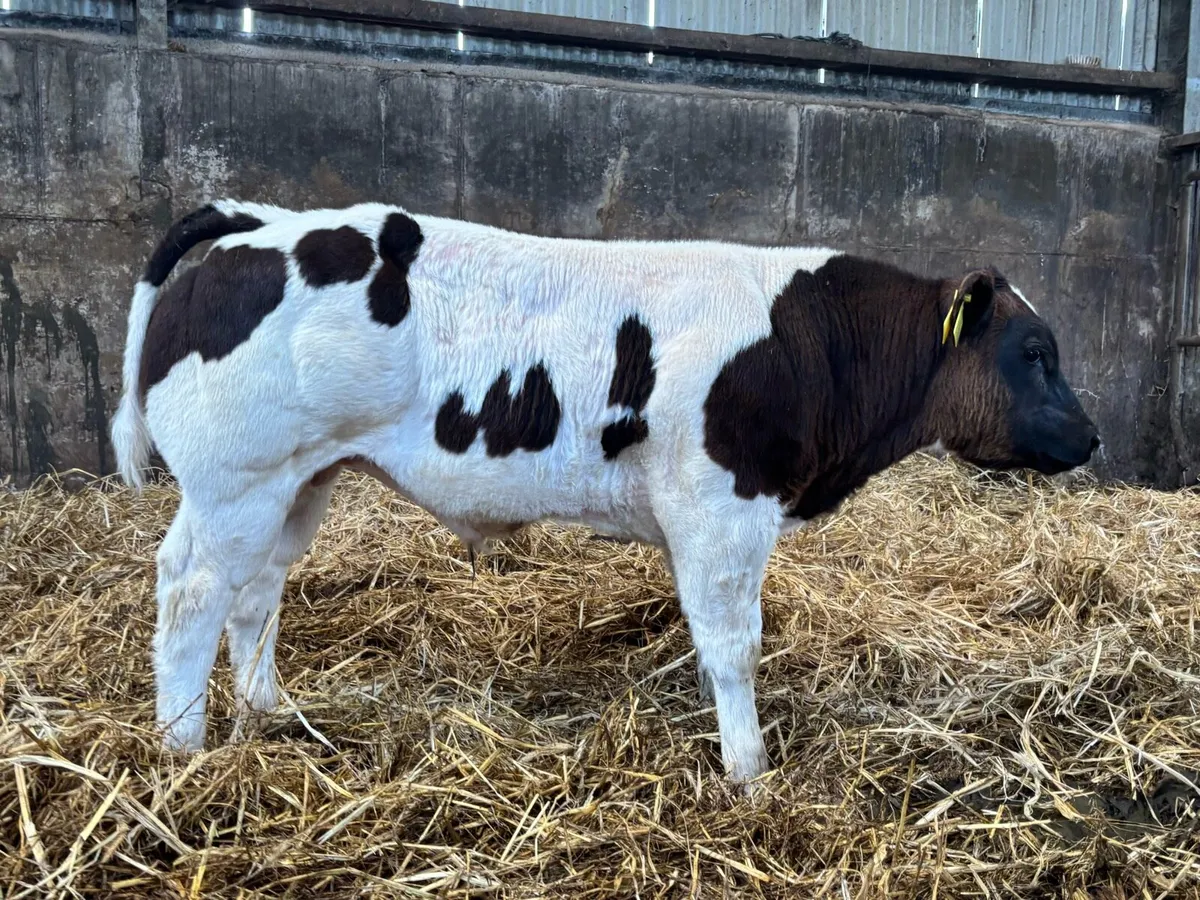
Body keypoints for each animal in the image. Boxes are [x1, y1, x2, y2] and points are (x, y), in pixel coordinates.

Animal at [111, 200, 1099, 788]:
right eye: (1034, 352)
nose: (1091, 437)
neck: (811, 341)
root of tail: (258, 224)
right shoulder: (722, 508)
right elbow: (734, 646)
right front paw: (750, 773)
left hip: (298, 480)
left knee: (256, 593)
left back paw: (270, 711)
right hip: (235, 481)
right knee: (191, 591)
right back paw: (183, 747)